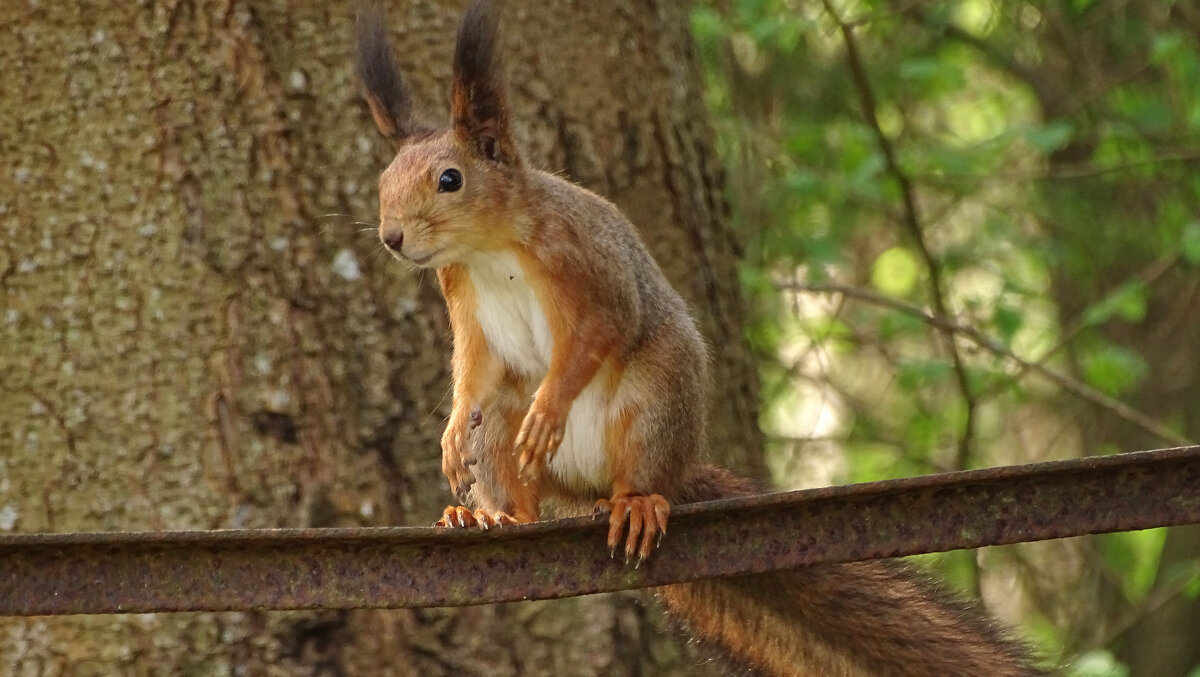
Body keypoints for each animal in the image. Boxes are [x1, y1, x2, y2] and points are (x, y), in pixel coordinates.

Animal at [352, 2, 1041, 672]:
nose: (392, 237)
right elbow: (473, 368)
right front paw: (449, 433)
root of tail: (589, 486)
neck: (490, 247)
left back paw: (635, 503)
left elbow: (600, 331)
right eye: (384, 180)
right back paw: (488, 511)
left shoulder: (588, 262)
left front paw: (551, 407)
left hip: (656, 397)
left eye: (450, 179)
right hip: (504, 430)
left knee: (640, 472)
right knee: (512, 469)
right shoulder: (462, 294)